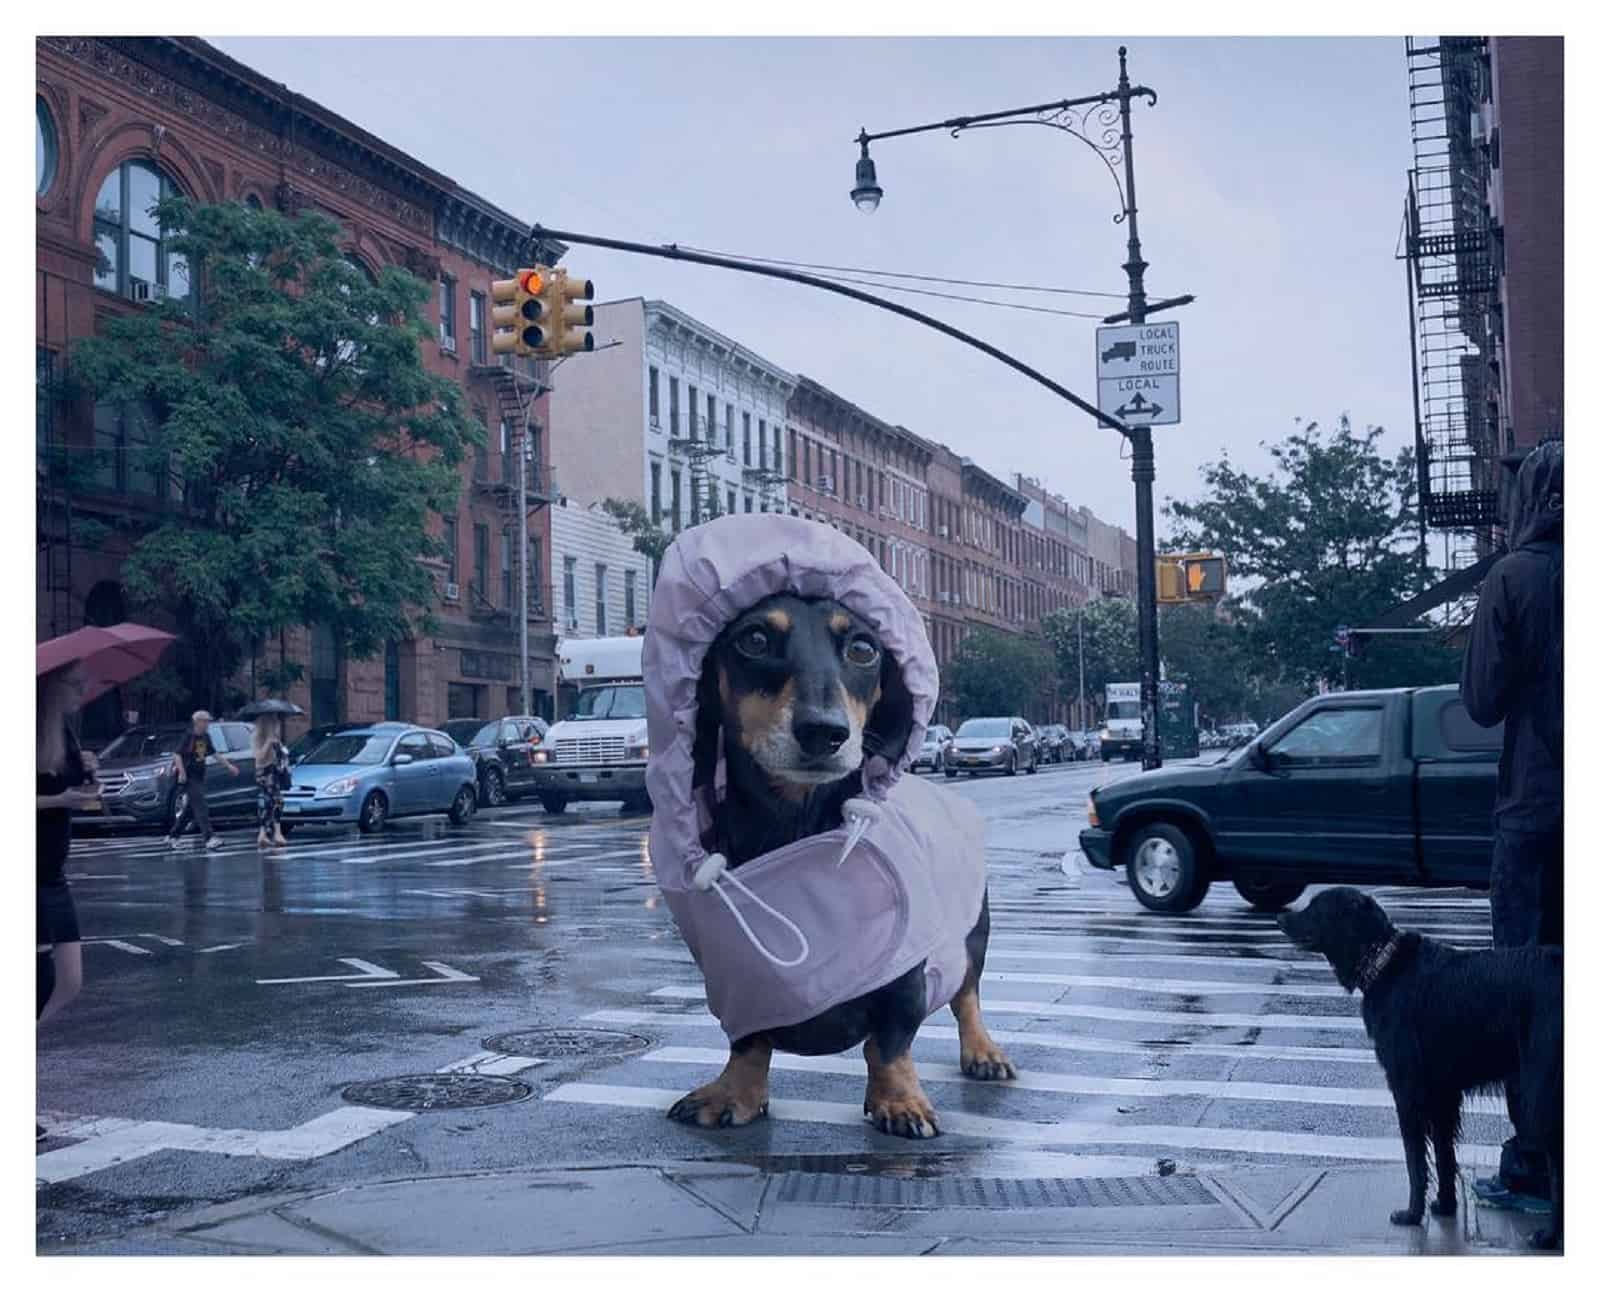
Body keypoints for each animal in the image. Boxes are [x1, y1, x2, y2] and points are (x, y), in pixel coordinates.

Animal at [668, 591, 1017, 1139]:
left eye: (862, 648)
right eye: (754, 639)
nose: (823, 732)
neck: (796, 822)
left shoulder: (905, 975)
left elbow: (890, 1042)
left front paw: (899, 1101)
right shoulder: (740, 978)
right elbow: (748, 1044)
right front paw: (733, 1093)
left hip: (974, 934)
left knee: (967, 994)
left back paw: (983, 1052)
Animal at [1273, 889, 1561, 1254]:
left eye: (1316, 907)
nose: (1279, 918)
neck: (1382, 963)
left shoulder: (1407, 1089)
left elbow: (1415, 1161)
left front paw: (1412, 1214)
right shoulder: (1442, 1095)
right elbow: (1444, 1154)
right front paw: (1446, 1206)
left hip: (1539, 1092)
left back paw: (1548, 1236)